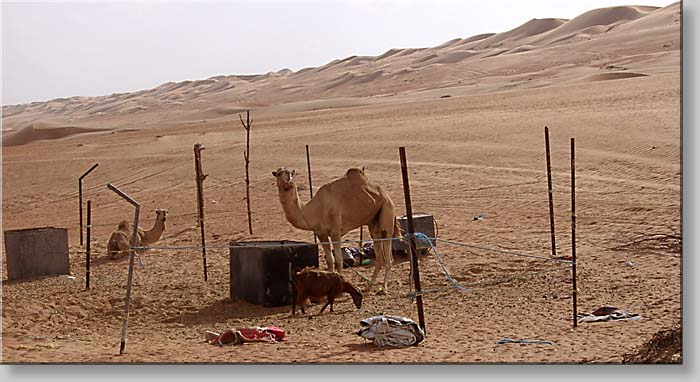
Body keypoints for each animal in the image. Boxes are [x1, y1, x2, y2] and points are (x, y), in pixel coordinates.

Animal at [270, 166, 400, 294]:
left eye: (291, 173)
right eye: (278, 173)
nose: (288, 179)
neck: (314, 210)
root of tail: (385, 195)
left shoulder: (335, 231)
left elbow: (338, 260)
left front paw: (340, 289)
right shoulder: (321, 234)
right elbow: (329, 260)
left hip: (387, 211)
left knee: (388, 254)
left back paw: (384, 289)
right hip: (373, 223)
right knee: (379, 255)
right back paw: (369, 287)